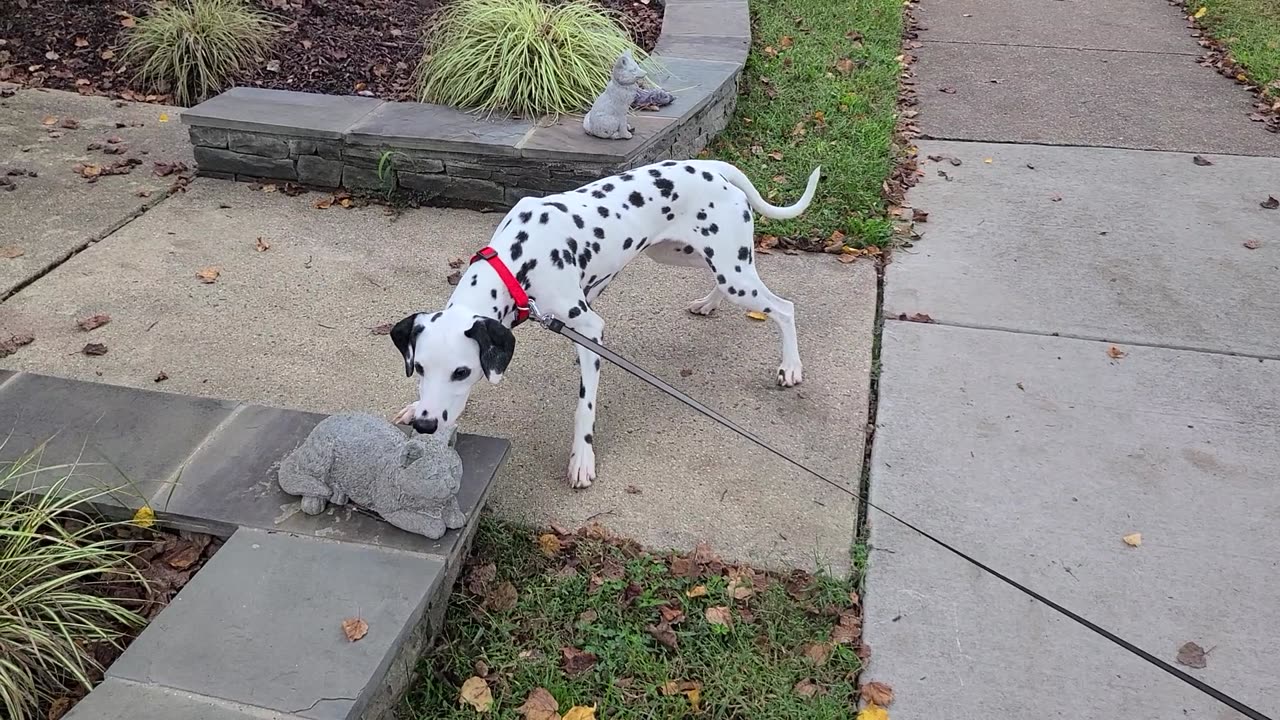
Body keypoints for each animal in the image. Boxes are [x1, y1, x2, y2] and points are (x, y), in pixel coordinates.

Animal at [389, 157, 819, 486]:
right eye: (420, 368)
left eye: (462, 372)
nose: (426, 425)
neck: (515, 262)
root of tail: (710, 166)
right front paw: (415, 406)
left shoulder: (590, 328)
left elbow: (585, 405)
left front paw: (582, 457)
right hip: (690, 256)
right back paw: (709, 303)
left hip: (734, 276)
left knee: (784, 307)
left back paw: (791, 366)